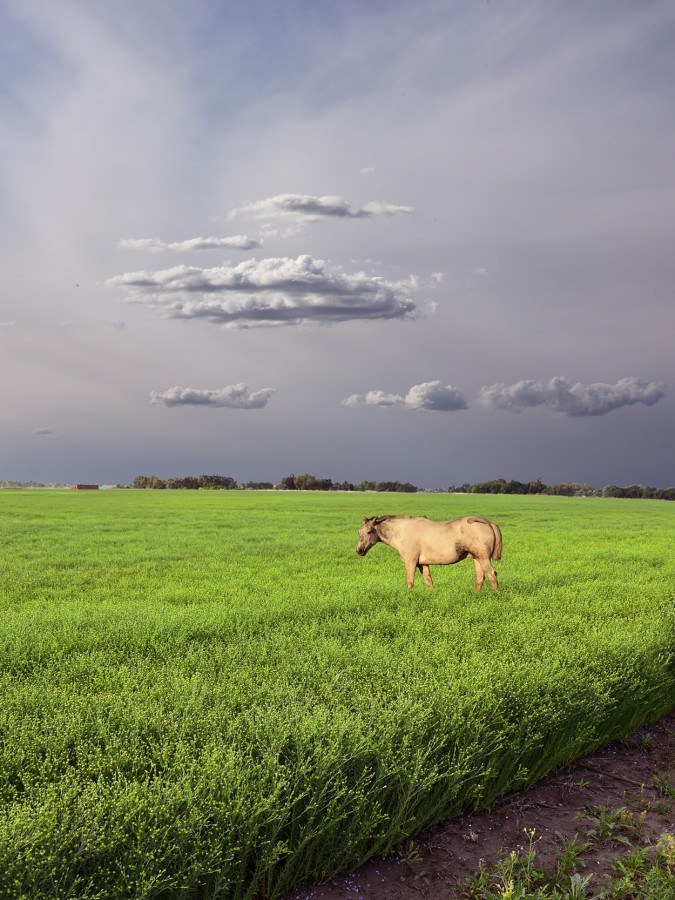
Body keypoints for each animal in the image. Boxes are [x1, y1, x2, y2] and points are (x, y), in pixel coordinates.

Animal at [354, 512, 502, 592]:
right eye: (359, 532)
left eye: (369, 531)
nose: (359, 550)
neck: (402, 531)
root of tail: (488, 523)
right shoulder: (422, 564)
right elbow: (428, 581)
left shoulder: (411, 562)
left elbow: (410, 582)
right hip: (477, 558)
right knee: (480, 578)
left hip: (483, 558)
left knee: (492, 575)